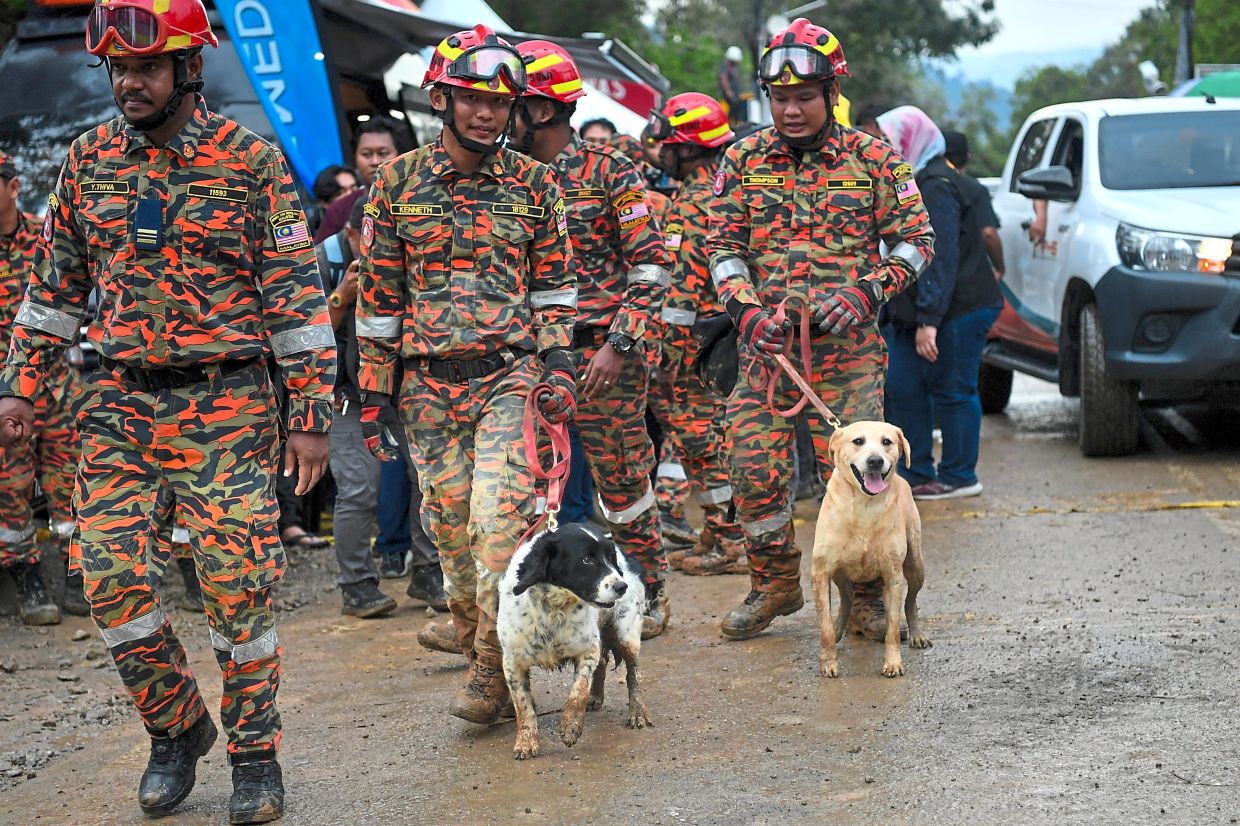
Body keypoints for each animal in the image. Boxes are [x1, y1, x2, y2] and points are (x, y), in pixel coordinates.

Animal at [498, 523, 654, 754]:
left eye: (610, 557)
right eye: (586, 559)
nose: (621, 586)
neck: (554, 608)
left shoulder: (587, 650)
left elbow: (578, 691)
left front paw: (571, 726)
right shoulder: (512, 663)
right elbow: (523, 706)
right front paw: (526, 742)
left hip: (627, 635)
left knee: (632, 674)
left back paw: (637, 712)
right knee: (603, 663)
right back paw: (596, 697)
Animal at [813, 419, 932, 674]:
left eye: (887, 441)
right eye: (858, 441)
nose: (875, 460)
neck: (863, 507)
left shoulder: (893, 575)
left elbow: (893, 627)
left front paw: (893, 662)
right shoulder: (821, 573)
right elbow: (824, 625)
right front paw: (828, 662)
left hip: (915, 565)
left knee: (910, 602)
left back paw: (917, 634)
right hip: (840, 574)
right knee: (847, 598)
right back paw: (838, 630)